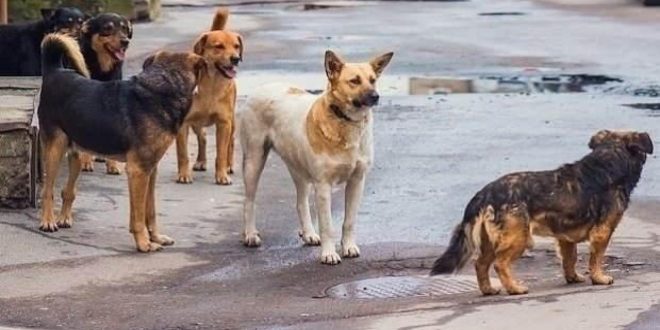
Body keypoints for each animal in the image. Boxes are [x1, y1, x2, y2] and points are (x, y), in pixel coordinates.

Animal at [38, 32, 204, 253]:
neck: (163, 86)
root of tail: (54, 70)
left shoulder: (150, 170)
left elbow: (150, 211)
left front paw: (156, 237)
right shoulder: (138, 171)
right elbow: (138, 216)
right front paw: (144, 243)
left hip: (76, 154)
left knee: (68, 190)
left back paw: (64, 218)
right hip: (54, 149)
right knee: (47, 190)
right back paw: (48, 221)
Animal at [76, 11, 133, 174]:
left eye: (125, 29)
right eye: (108, 28)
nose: (125, 41)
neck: (102, 69)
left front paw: (112, 165)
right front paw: (86, 161)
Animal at [175, 7, 242, 184]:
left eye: (236, 46)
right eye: (218, 46)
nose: (236, 59)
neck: (211, 85)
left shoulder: (224, 123)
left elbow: (221, 153)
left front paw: (222, 175)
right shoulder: (183, 123)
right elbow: (183, 153)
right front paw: (183, 174)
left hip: (232, 121)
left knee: (231, 142)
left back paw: (229, 165)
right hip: (196, 123)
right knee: (203, 137)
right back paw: (200, 161)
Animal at [430, 130, 652, 296]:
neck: (609, 160)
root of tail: (485, 194)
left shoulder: (565, 238)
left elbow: (570, 259)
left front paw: (572, 278)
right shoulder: (602, 232)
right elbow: (596, 258)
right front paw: (599, 278)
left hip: (491, 241)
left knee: (480, 264)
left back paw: (488, 290)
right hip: (518, 238)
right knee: (500, 265)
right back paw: (515, 288)